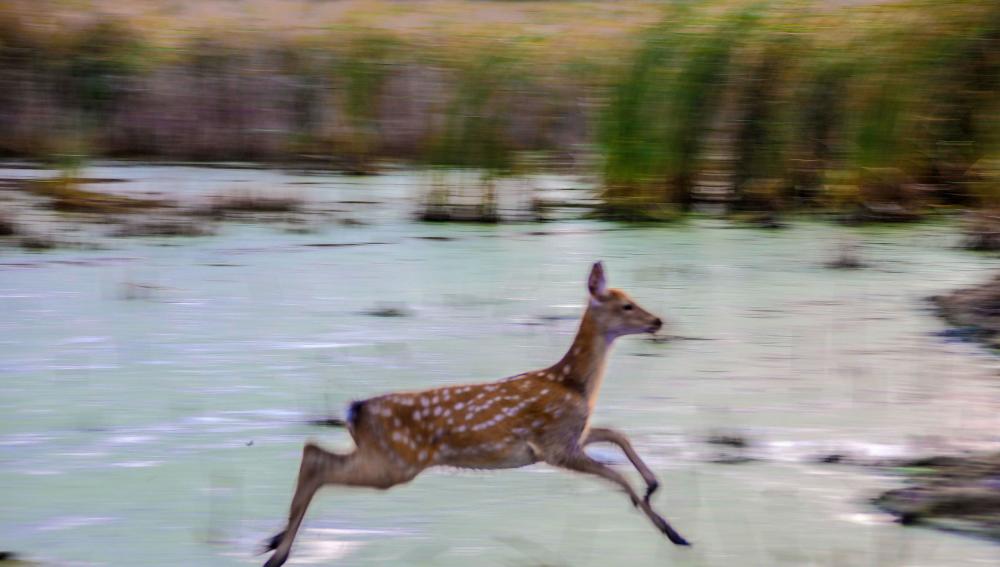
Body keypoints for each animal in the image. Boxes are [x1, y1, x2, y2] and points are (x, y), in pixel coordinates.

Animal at [262, 262, 692, 567]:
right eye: (626, 305)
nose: (657, 321)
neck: (572, 383)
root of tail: (357, 410)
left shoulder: (571, 436)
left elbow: (617, 433)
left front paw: (654, 483)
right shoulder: (554, 446)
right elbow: (617, 475)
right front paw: (671, 530)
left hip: (384, 456)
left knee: (313, 452)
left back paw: (273, 544)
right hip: (396, 462)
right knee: (315, 458)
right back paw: (277, 554)